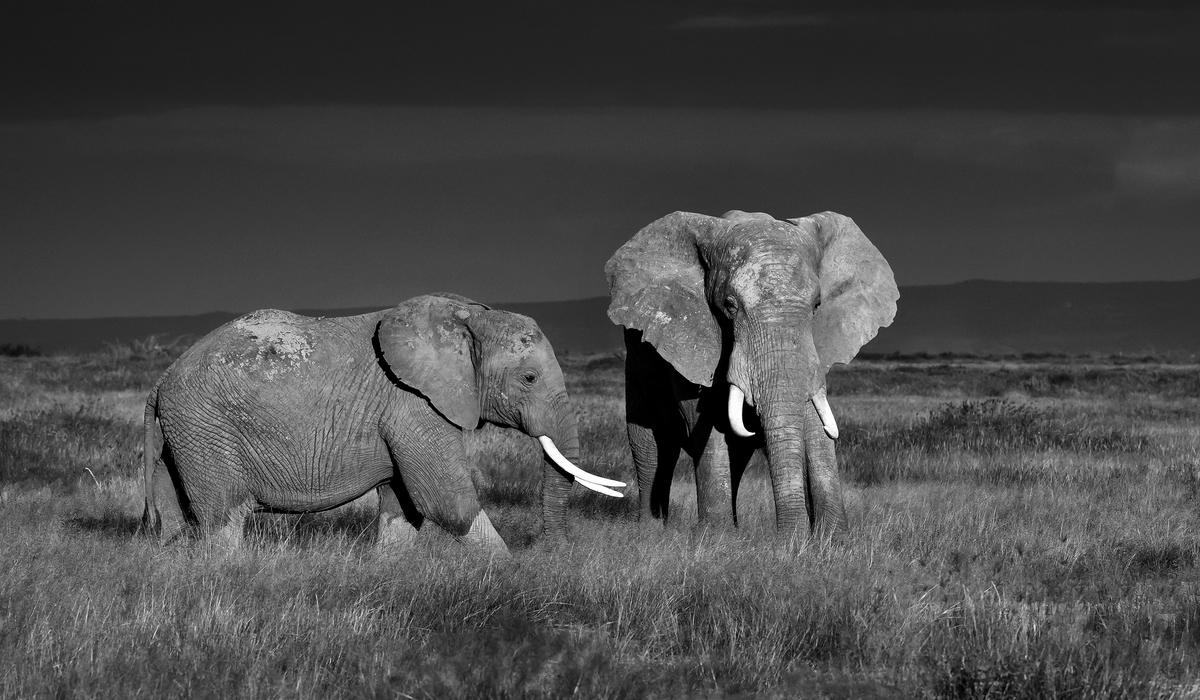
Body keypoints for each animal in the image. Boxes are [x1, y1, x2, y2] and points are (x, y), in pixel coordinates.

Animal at [139, 293, 625, 555]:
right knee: (224, 518)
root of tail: (162, 379)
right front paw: (511, 576)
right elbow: (445, 502)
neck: (465, 316)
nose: (552, 552)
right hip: (205, 426)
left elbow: (403, 506)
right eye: (529, 379)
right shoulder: (412, 404)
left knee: (171, 509)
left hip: (182, 433)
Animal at [606, 210, 897, 537]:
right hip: (636, 362)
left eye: (817, 306)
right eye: (730, 306)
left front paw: (834, 538)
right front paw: (717, 537)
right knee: (655, 446)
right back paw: (652, 529)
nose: (787, 540)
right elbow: (706, 421)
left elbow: (813, 420)